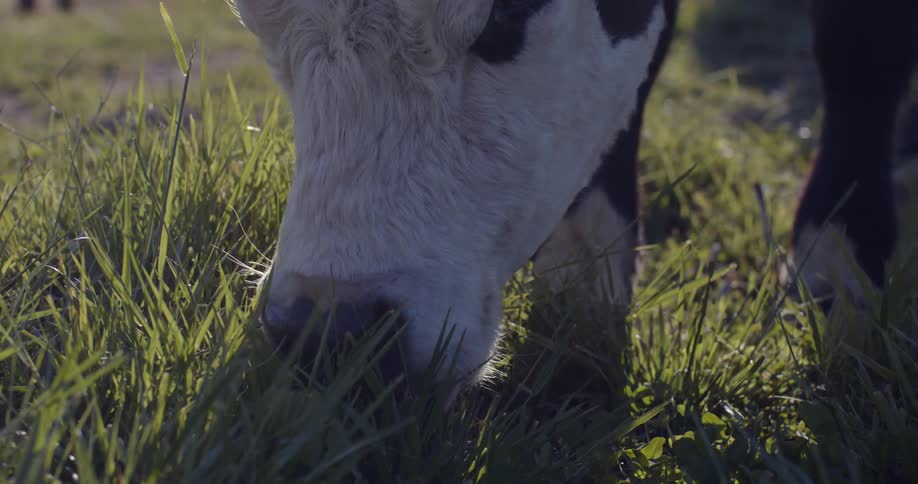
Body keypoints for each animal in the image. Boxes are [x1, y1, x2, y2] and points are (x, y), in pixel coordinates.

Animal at [231, 0, 918, 397]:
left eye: (507, 12)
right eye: (257, 21)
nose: (328, 329)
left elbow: (859, 42)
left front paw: (841, 264)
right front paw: (587, 272)